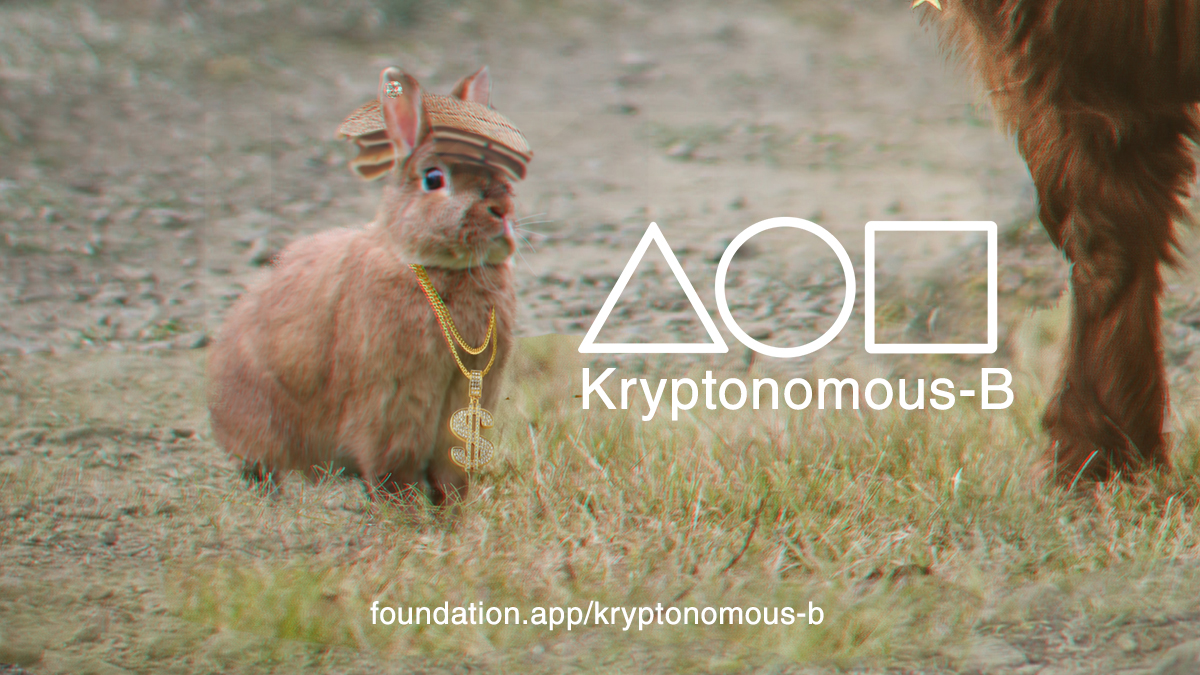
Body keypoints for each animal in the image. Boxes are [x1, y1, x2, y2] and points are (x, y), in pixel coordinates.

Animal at [205, 66, 529, 505]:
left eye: (500, 173)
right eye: (433, 178)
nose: (502, 209)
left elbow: (449, 477)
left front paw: (455, 513)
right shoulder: (392, 405)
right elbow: (394, 474)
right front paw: (407, 515)